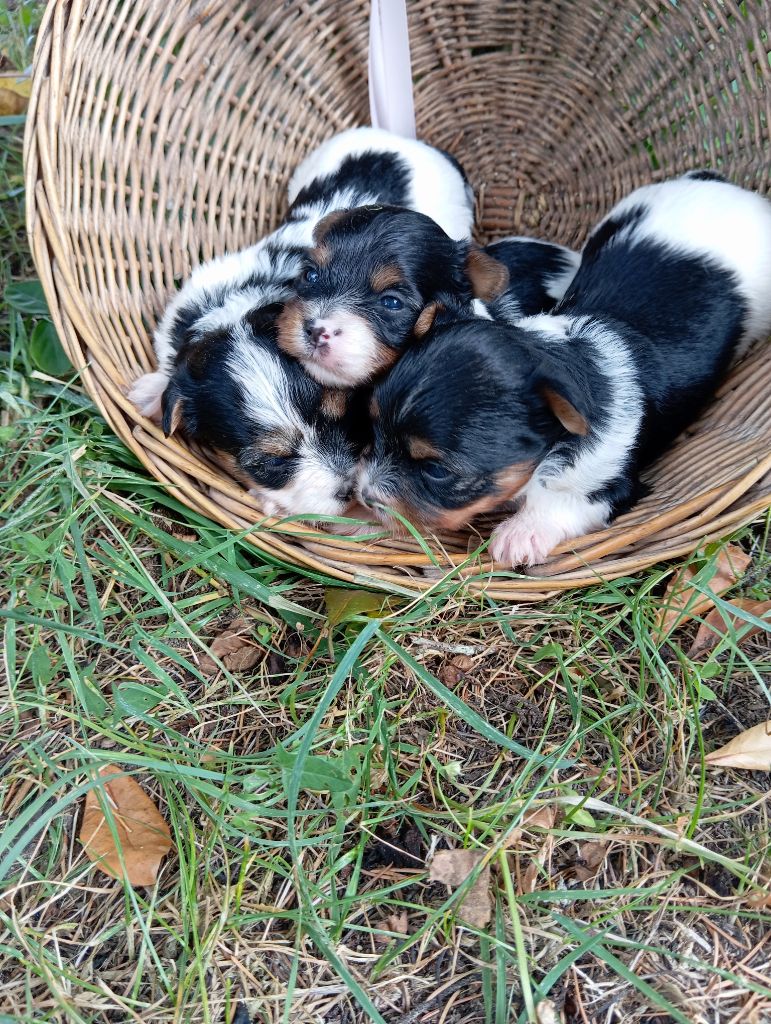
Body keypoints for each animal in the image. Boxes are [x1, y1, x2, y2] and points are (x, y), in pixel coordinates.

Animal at [358, 171, 769, 565]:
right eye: (373, 429)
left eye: (437, 470)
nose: (364, 496)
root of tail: (720, 186)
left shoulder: (610, 485)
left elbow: (565, 501)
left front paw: (520, 533)